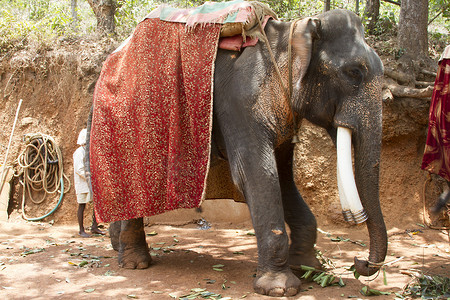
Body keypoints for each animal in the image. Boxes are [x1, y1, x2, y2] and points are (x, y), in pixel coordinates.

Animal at [85, 8, 386, 296]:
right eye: (354, 73)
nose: (359, 263)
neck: (290, 32)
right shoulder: (241, 100)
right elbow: (257, 173)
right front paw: (280, 288)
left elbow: (283, 178)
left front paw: (313, 270)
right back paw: (135, 263)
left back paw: (118, 247)